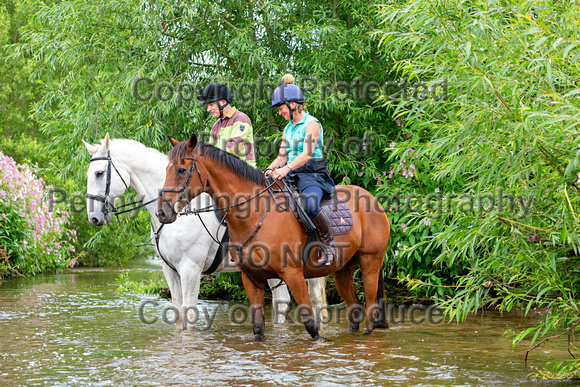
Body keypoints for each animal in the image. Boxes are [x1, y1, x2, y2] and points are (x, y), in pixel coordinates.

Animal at [84, 135, 326, 328]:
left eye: (99, 173)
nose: (94, 218)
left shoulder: (190, 269)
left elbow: (189, 313)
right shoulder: (170, 270)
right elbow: (178, 312)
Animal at [157, 135, 390, 342]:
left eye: (181, 170)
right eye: (166, 169)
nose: (162, 212)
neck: (255, 213)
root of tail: (373, 199)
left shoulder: (293, 274)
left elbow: (311, 325)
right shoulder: (251, 277)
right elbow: (258, 326)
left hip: (370, 262)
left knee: (369, 306)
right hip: (343, 270)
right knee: (354, 307)